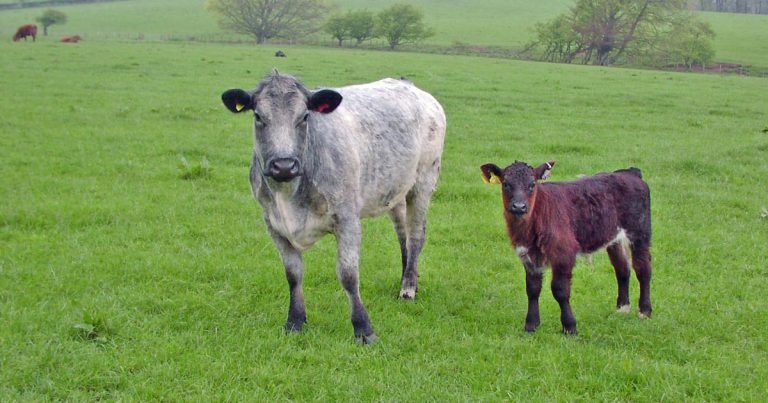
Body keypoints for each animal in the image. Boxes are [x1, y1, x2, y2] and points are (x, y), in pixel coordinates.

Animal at [220, 72, 446, 343]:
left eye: (304, 117)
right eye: (258, 117)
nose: (284, 166)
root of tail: (410, 86)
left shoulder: (347, 219)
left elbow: (348, 275)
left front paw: (363, 328)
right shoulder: (273, 224)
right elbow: (293, 274)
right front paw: (295, 321)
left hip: (423, 182)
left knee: (416, 237)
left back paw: (408, 288)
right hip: (396, 191)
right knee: (403, 236)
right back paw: (407, 278)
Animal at [480, 160, 652, 335]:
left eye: (532, 184)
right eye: (506, 184)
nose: (519, 206)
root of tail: (629, 172)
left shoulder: (563, 253)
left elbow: (560, 290)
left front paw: (569, 327)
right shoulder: (528, 255)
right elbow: (532, 289)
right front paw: (531, 325)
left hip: (640, 231)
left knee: (643, 268)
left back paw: (644, 311)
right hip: (613, 238)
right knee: (622, 268)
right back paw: (622, 308)